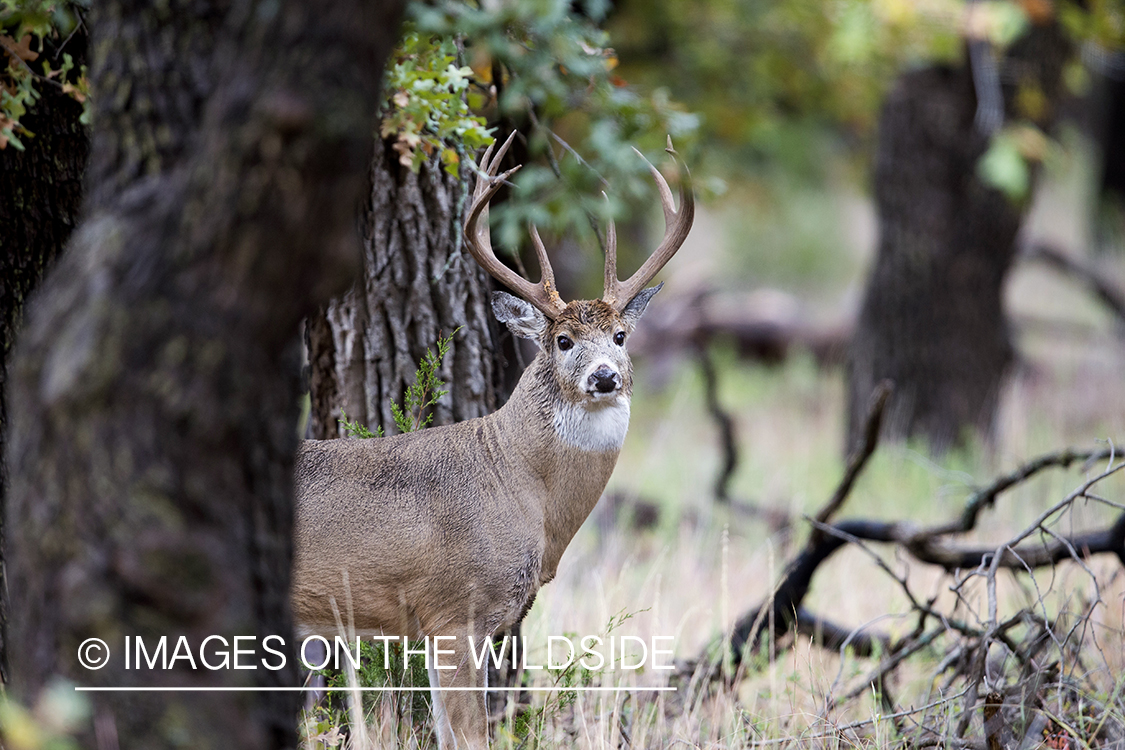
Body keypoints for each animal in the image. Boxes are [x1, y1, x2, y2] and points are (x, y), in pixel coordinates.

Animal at [290, 134, 688, 750]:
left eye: (621, 336)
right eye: (562, 340)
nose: (604, 376)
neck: (518, 482)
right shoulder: (455, 610)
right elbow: (472, 735)